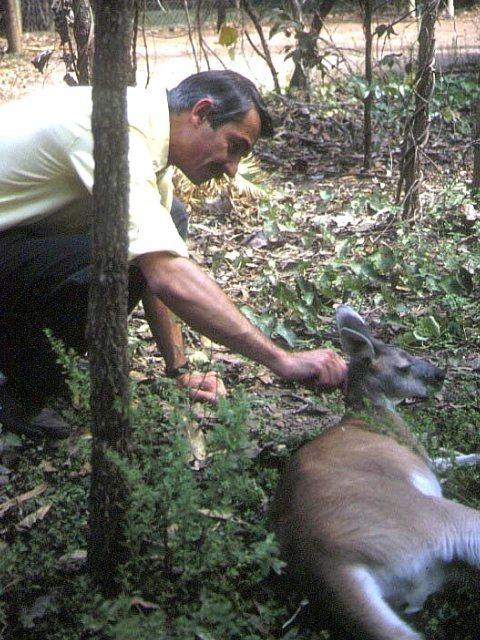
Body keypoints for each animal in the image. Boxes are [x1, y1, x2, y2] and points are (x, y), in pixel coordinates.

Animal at [269, 305, 480, 640]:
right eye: (404, 368)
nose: (440, 375)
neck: (370, 412)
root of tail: (328, 562)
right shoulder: (419, 454)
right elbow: (448, 460)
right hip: (429, 517)